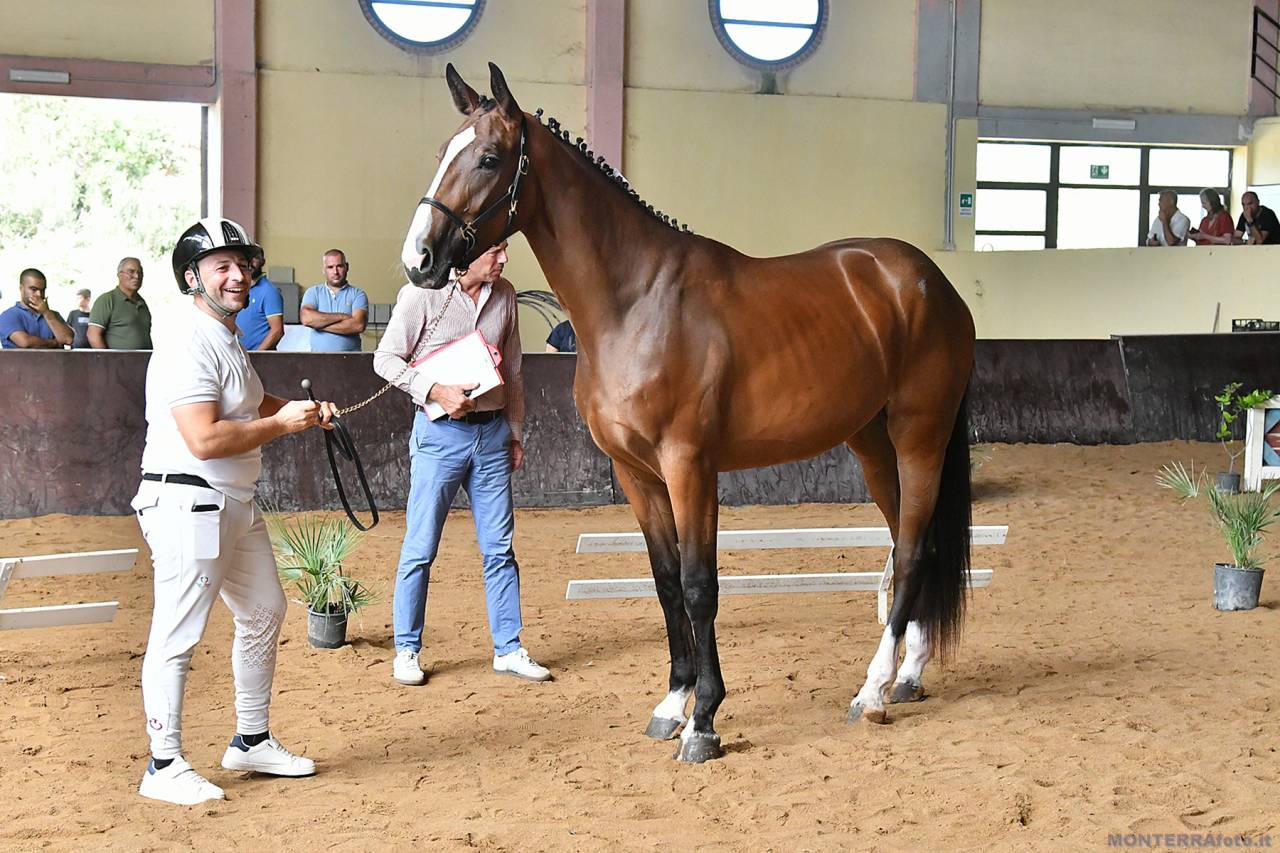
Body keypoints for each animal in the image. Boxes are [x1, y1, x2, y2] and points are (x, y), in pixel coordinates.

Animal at [398, 63, 976, 763]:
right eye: (441, 152)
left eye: (487, 157)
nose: (419, 260)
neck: (636, 302)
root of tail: (930, 282)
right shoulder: (637, 475)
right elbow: (667, 581)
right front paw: (672, 702)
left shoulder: (689, 467)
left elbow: (702, 586)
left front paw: (704, 720)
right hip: (872, 444)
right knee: (911, 544)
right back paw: (906, 675)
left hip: (921, 436)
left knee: (915, 549)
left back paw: (871, 692)